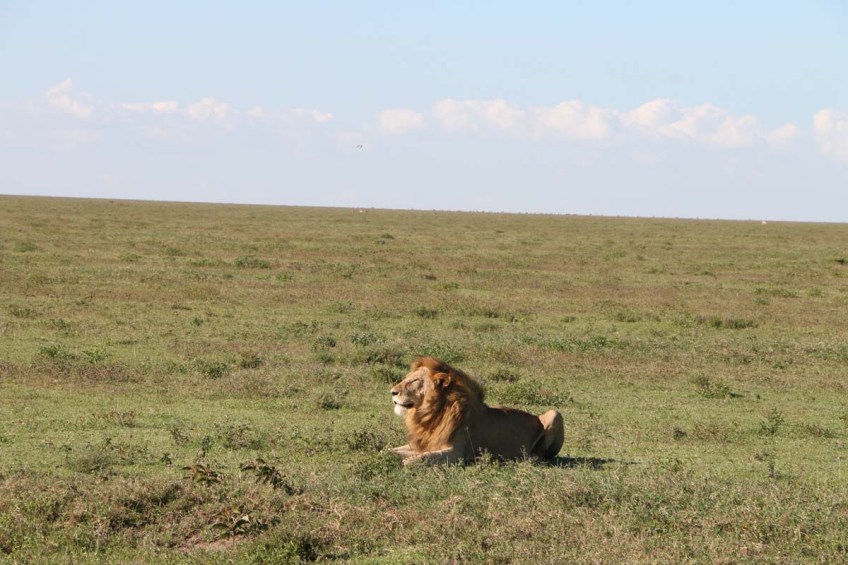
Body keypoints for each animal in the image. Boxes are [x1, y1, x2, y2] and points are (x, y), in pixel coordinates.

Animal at [389, 356, 564, 465]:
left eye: (414, 381)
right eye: (406, 378)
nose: (392, 392)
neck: (431, 416)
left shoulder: (456, 453)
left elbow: (422, 458)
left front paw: (408, 461)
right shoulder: (422, 444)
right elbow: (391, 450)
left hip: (555, 413)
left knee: (543, 456)